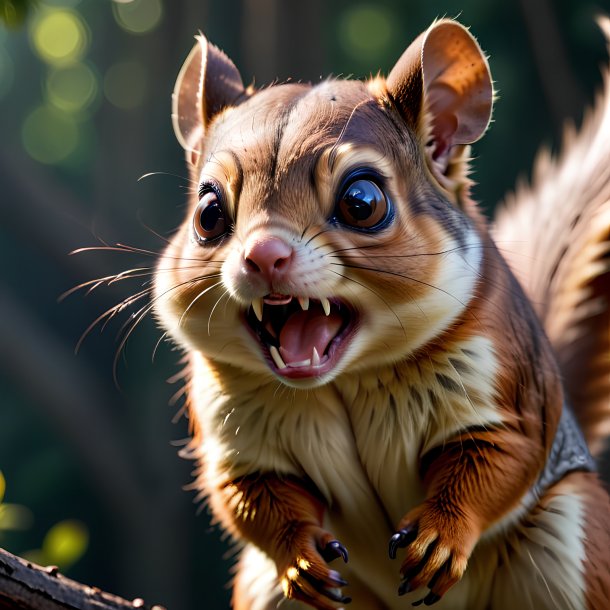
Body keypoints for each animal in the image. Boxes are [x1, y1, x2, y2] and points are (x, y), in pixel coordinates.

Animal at [151, 16, 608, 604]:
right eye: (207, 213)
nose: (264, 255)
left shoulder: (507, 389)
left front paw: (440, 535)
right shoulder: (235, 434)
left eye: (362, 202)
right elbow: (249, 496)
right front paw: (299, 556)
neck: (345, 380)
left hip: (569, 544)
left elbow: (496, 460)